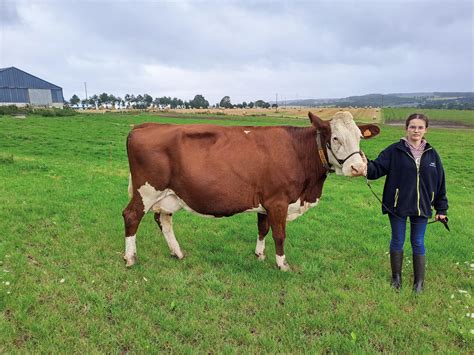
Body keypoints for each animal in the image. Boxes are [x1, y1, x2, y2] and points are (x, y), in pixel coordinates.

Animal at [123, 112, 382, 272]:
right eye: (335, 137)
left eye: (360, 137)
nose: (359, 168)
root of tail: (145, 126)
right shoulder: (278, 201)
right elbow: (279, 234)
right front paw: (282, 264)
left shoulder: (266, 202)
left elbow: (263, 229)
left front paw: (260, 255)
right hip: (146, 191)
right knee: (131, 216)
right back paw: (130, 258)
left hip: (170, 195)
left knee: (164, 220)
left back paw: (177, 253)